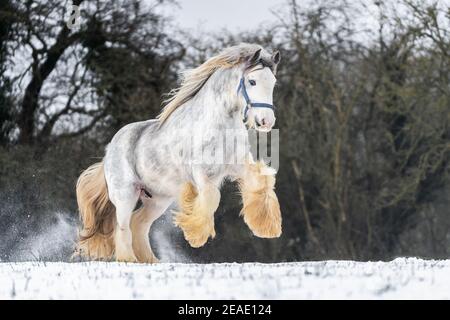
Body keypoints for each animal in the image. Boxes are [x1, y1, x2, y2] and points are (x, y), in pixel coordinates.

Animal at [76, 43, 284, 262]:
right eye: (252, 81)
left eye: (273, 83)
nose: (266, 122)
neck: (218, 125)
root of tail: (109, 151)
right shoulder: (200, 173)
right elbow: (211, 197)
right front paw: (195, 235)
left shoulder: (239, 166)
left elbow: (260, 183)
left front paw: (267, 227)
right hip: (126, 193)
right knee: (122, 227)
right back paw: (129, 260)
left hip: (157, 199)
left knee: (138, 224)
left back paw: (151, 261)